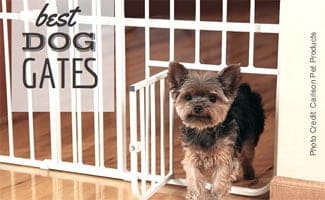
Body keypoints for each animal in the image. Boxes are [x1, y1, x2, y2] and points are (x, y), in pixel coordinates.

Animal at [167, 61, 264, 199]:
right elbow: (195, 179)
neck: (204, 129)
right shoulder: (192, 157)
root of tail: (245, 90)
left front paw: (217, 195)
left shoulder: (224, 157)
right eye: (188, 97)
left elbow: (220, 181)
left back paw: (249, 173)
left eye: (213, 98)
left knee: (247, 154)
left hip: (251, 135)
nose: (197, 107)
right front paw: (196, 195)